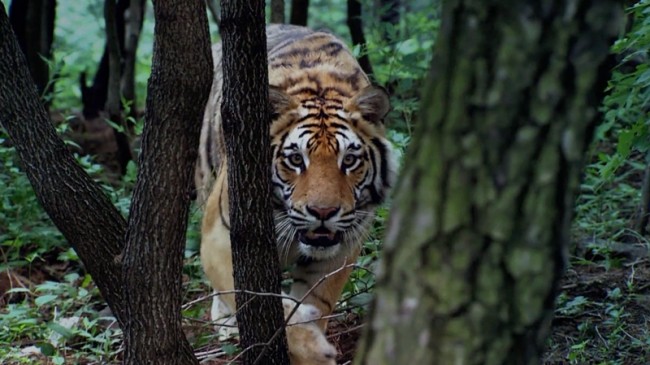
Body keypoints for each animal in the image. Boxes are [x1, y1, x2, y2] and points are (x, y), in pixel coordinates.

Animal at [194, 24, 394, 362]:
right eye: (296, 159)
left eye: (349, 160)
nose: (323, 212)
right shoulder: (223, 236)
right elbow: (260, 300)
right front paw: (312, 347)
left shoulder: (339, 251)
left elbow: (315, 304)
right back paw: (225, 322)